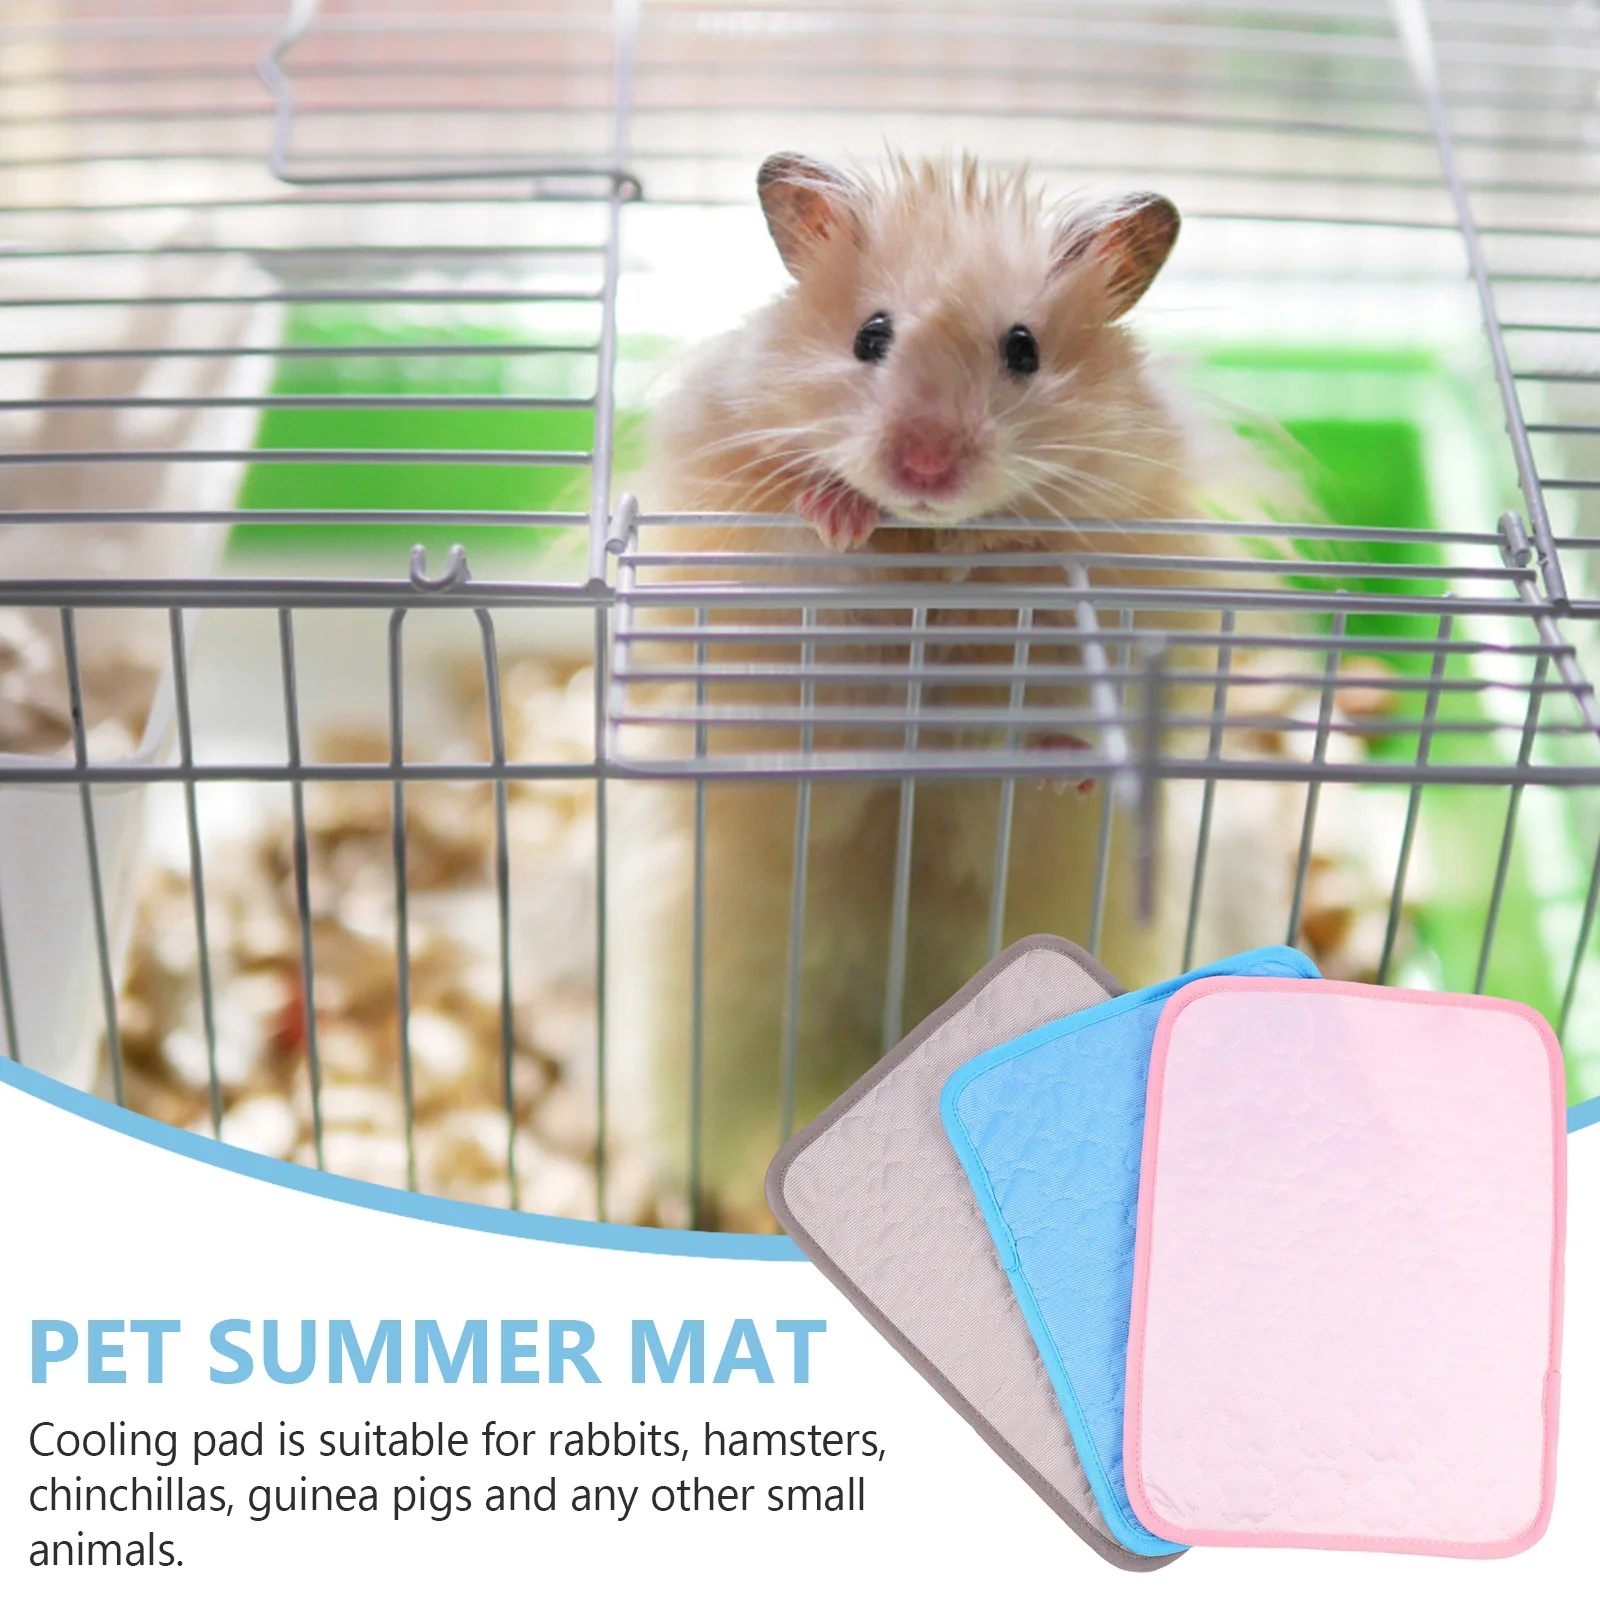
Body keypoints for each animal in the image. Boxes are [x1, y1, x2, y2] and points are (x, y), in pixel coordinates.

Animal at [612, 154, 1286, 1230]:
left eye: (1022, 349)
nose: (924, 467)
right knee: (699, 1151)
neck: (925, 547)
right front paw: (841, 512)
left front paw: (1062, 763)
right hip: (699, 1044)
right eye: (869, 337)